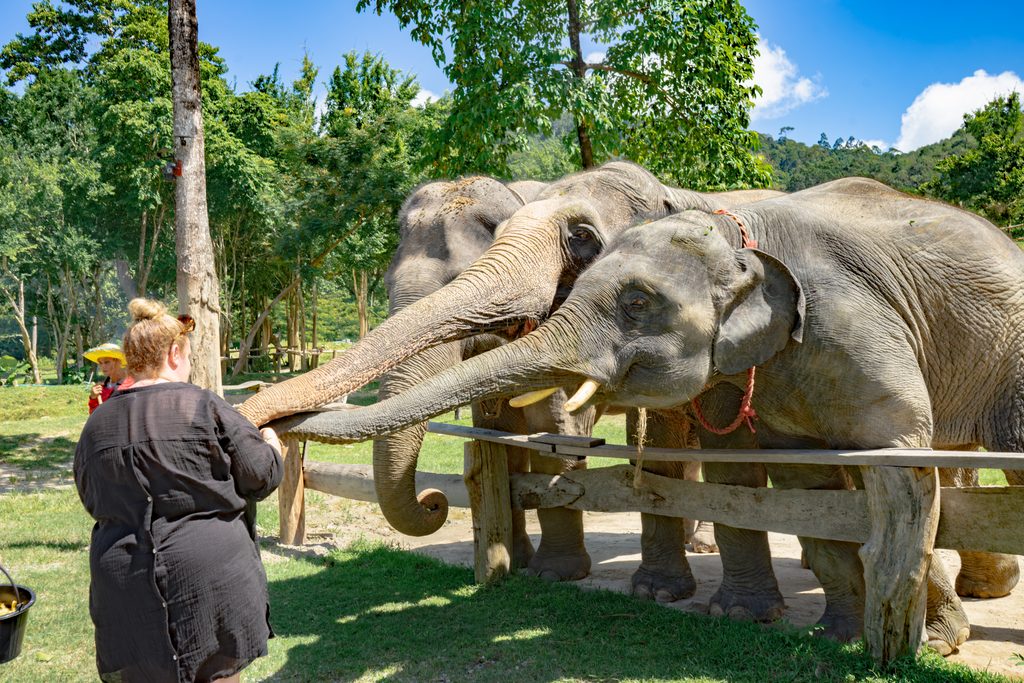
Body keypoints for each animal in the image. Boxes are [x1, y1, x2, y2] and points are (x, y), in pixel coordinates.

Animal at [242, 161, 776, 588]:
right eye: (387, 285)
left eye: (585, 239)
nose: (434, 502)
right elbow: (499, 432)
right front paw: (517, 562)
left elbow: (554, 428)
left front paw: (554, 574)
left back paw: (701, 544)